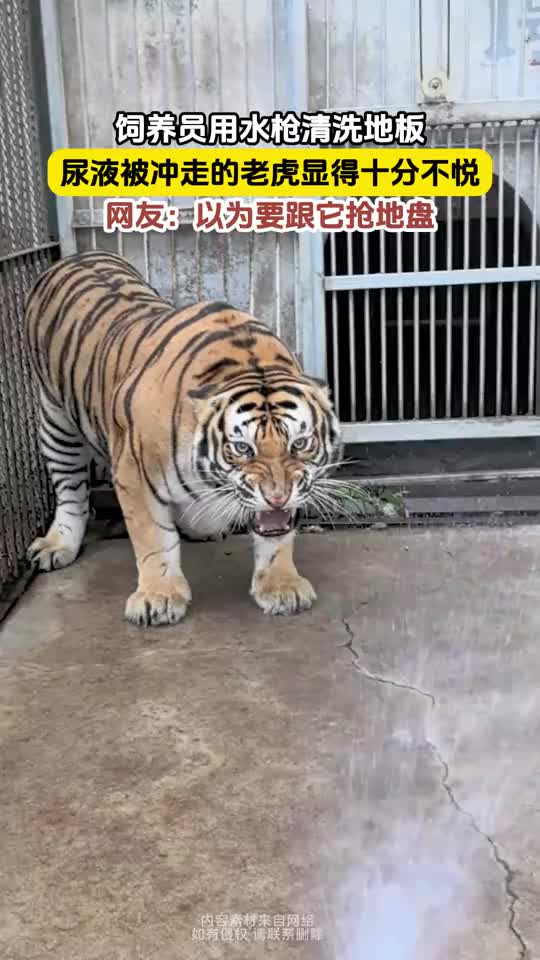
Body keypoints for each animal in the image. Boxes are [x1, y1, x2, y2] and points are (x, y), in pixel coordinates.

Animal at [24, 250, 341, 627]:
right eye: (241, 448)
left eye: (300, 443)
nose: (277, 497)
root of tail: (77, 256)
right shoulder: (133, 473)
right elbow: (153, 538)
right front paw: (158, 598)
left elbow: (277, 540)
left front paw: (281, 587)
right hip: (56, 422)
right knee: (71, 491)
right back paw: (59, 544)